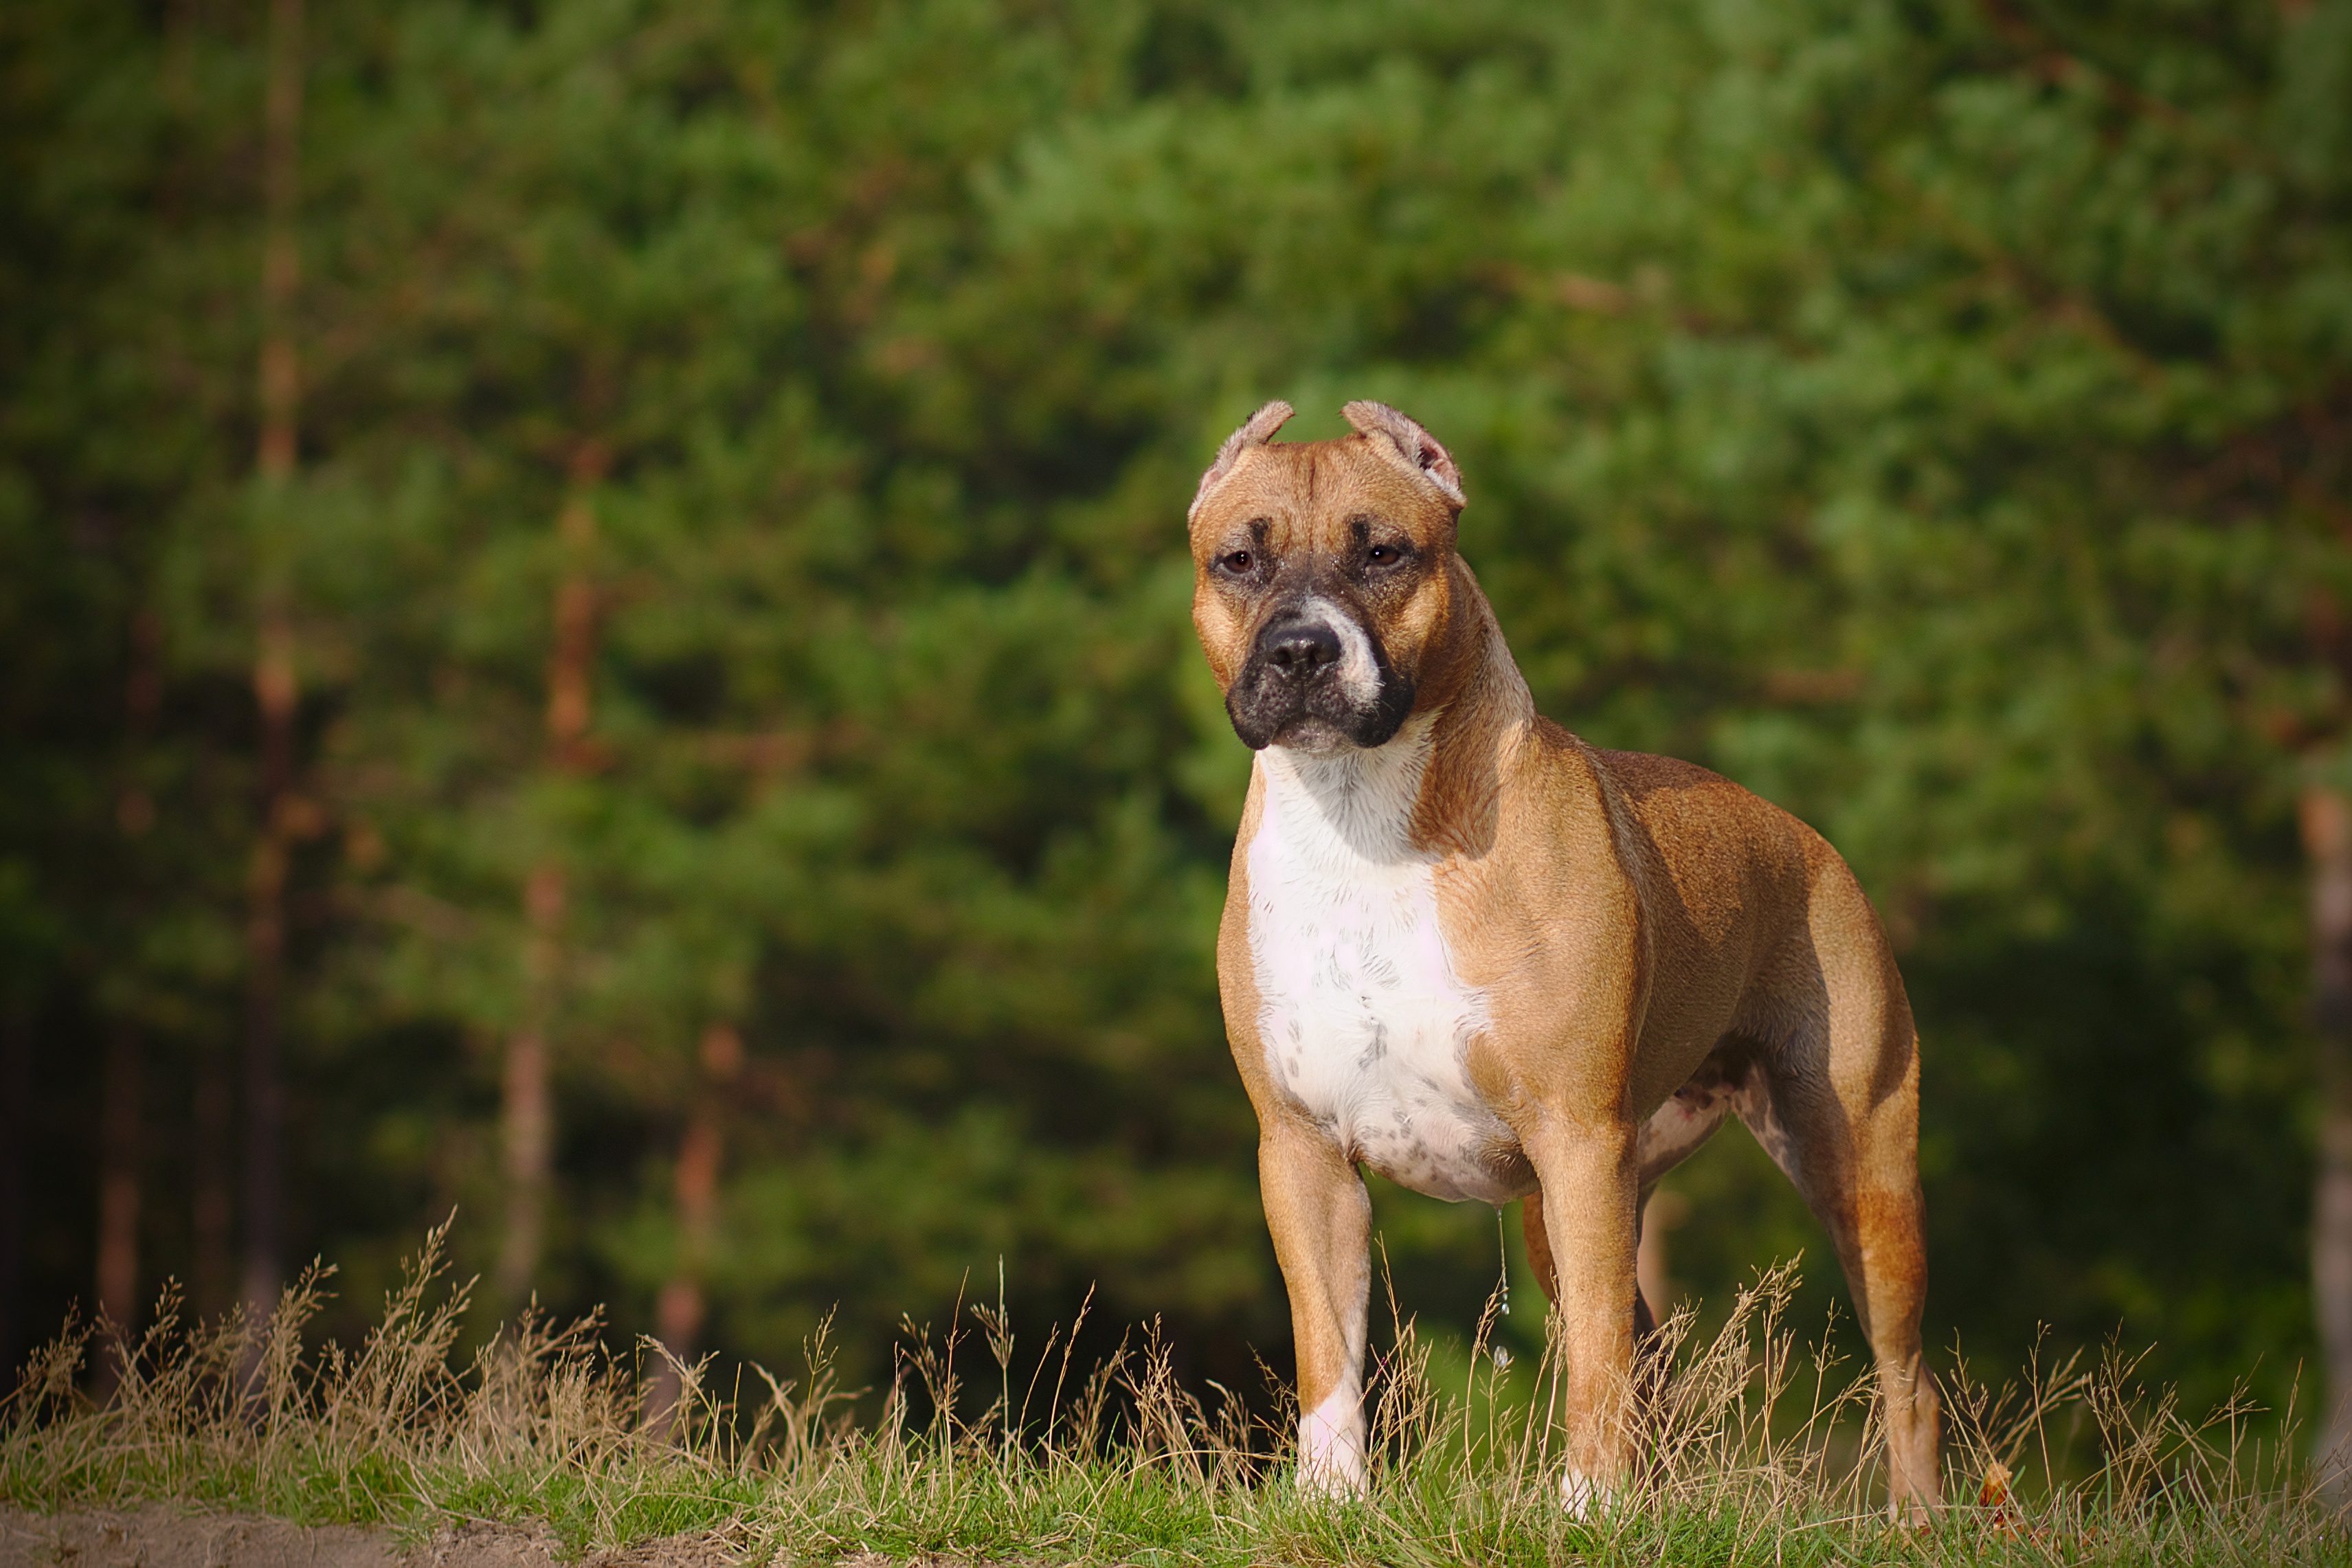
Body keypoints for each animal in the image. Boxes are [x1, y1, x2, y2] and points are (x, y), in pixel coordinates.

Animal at [1185, 399, 1938, 1514]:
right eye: (1237, 560)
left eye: (1382, 552)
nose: (1301, 649)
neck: (1362, 817)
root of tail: (1804, 837)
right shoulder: (1302, 1150)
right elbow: (1327, 1350)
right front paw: (1328, 1499)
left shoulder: (1578, 1137)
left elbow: (1590, 1357)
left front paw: (1590, 1509)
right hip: (1573, 1200)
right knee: (1651, 1353)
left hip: (1854, 1164)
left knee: (1899, 1371)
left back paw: (1916, 1522)